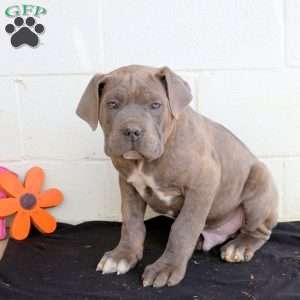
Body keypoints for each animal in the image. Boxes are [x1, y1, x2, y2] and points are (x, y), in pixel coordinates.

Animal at [76, 65, 278, 288]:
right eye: (112, 104)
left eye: (156, 105)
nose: (132, 130)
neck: (145, 162)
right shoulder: (128, 185)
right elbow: (131, 222)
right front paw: (122, 255)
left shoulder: (203, 183)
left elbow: (183, 228)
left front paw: (166, 268)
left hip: (260, 188)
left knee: (259, 231)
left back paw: (240, 246)